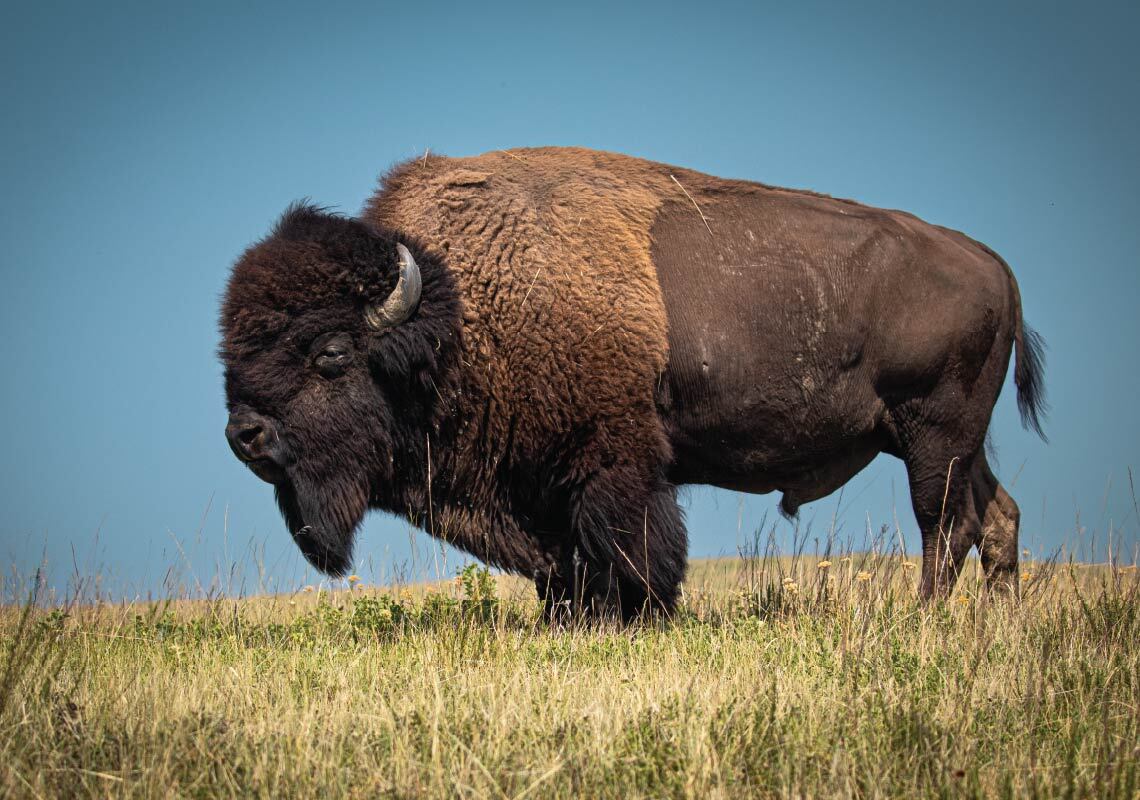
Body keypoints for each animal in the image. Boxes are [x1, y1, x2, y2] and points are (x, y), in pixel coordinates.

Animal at [220, 147, 1045, 619]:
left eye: (330, 353)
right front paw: (568, 619)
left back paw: (925, 617)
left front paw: (643, 615)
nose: (244, 433)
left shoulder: (612, 464)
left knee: (945, 525)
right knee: (996, 514)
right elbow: (563, 566)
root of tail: (994, 264)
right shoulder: (541, 486)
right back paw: (998, 621)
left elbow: (631, 549)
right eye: (233, 354)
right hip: (949, 441)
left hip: (932, 434)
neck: (458, 312)